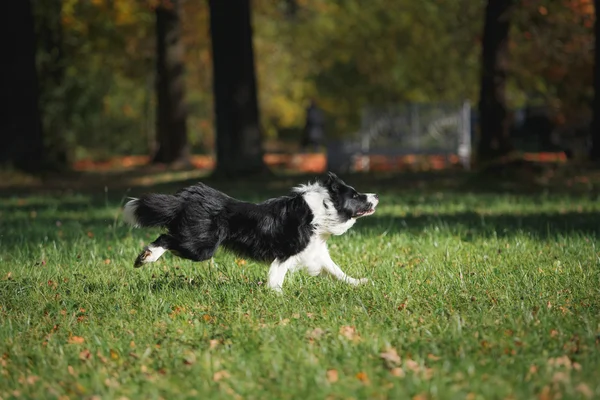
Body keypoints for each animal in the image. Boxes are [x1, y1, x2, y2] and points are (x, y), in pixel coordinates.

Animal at [122, 171, 378, 290]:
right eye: (356, 195)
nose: (375, 195)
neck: (323, 209)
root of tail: (188, 196)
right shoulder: (287, 251)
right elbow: (277, 275)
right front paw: (276, 295)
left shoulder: (315, 251)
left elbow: (337, 271)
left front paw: (359, 282)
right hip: (201, 246)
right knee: (166, 238)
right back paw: (146, 257)